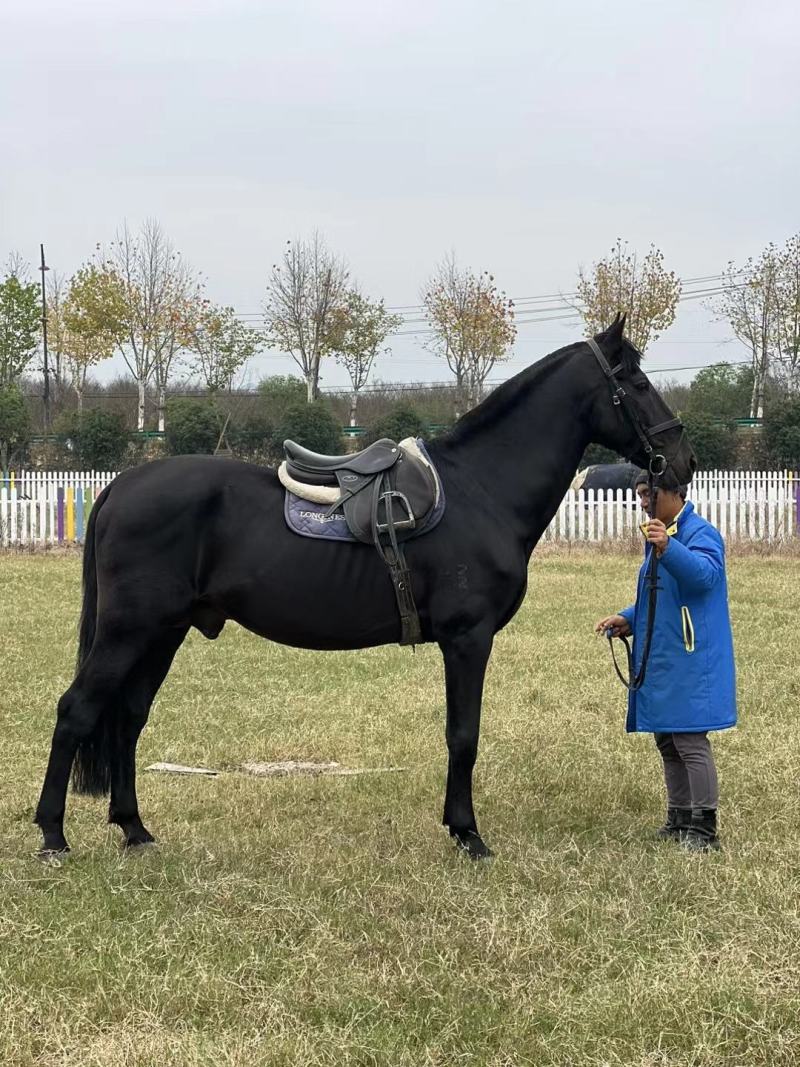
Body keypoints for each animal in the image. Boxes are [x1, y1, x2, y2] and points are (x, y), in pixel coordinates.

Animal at [34, 316, 696, 860]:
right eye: (636, 382)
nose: (682, 459)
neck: (482, 488)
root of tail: (120, 488)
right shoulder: (468, 639)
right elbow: (464, 734)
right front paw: (468, 833)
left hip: (162, 633)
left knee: (128, 718)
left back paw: (135, 829)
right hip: (129, 631)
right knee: (76, 710)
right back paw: (53, 836)